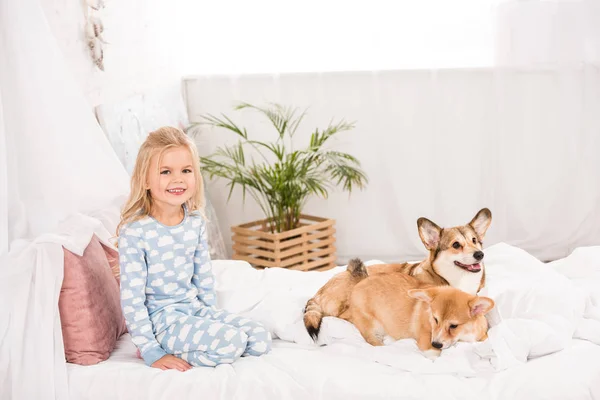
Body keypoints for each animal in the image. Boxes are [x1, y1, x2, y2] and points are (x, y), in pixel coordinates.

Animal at [340, 262, 494, 360]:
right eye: (435, 319)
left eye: (454, 326)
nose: (436, 344)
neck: (463, 335)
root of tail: (359, 283)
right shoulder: (426, 340)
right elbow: (434, 356)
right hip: (370, 326)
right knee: (375, 342)